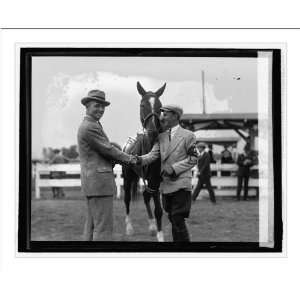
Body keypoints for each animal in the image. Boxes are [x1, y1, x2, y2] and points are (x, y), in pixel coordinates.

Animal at [122, 81, 166, 241]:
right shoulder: (153, 180)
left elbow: (159, 209)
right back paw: (129, 228)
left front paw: (158, 232)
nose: (153, 131)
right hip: (128, 177)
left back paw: (152, 227)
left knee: (146, 197)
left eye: (160, 106)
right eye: (142, 105)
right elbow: (158, 208)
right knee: (127, 198)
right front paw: (160, 236)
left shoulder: (157, 180)